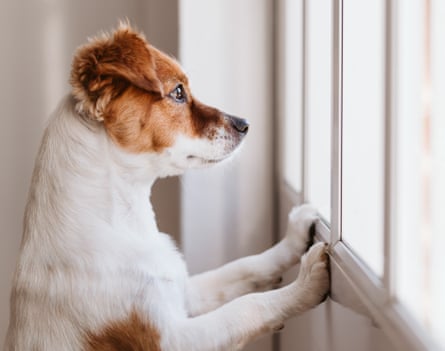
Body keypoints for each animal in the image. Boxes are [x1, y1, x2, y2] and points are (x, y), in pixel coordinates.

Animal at [4, 23, 330, 350]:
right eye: (178, 92)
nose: (245, 124)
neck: (123, 222)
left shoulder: (184, 292)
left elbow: (244, 267)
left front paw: (294, 237)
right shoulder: (171, 339)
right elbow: (246, 307)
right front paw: (305, 283)